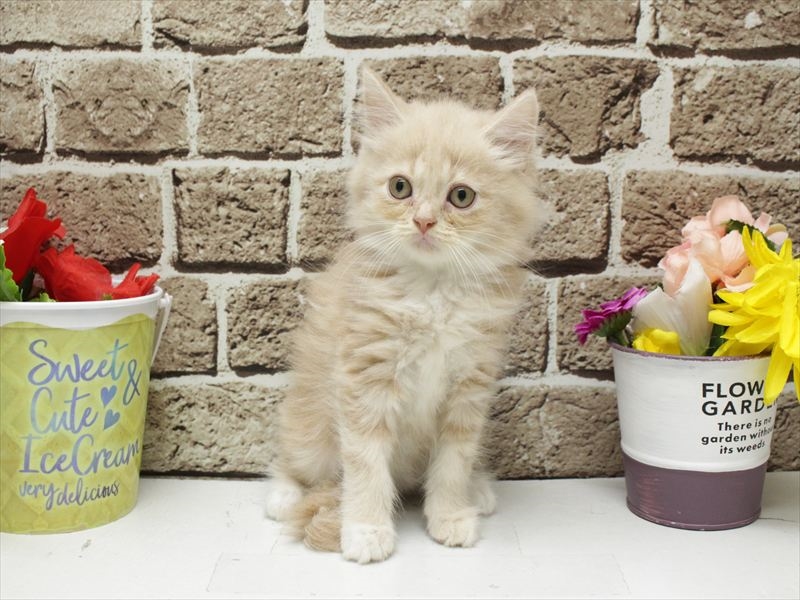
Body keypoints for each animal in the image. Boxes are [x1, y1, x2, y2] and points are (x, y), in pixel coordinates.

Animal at [265, 68, 545, 564]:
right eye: (400, 188)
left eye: (461, 196)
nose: (424, 221)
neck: (433, 293)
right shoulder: (365, 377)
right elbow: (366, 464)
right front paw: (365, 529)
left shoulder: (470, 386)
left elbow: (454, 461)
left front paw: (449, 514)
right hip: (310, 430)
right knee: (296, 460)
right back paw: (283, 495)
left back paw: (477, 491)